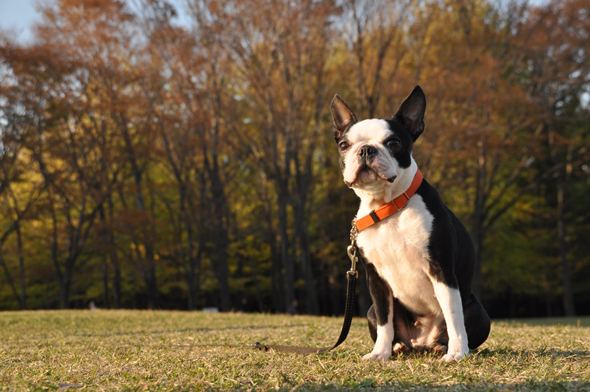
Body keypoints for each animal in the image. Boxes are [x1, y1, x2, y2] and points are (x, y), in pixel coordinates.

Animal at [330, 86, 492, 362]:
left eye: (394, 143)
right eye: (344, 145)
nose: (365, 150)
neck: (389, 207)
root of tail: (421, 343)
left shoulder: (441, 269)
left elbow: (453, 316)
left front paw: (457, 353)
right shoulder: (375, 279)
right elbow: (385, 321)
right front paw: (379, 353)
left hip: (479, 312)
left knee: (457, 323)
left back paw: (445, 347)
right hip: (371, 310)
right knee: (386, 323)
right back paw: (398, 347)